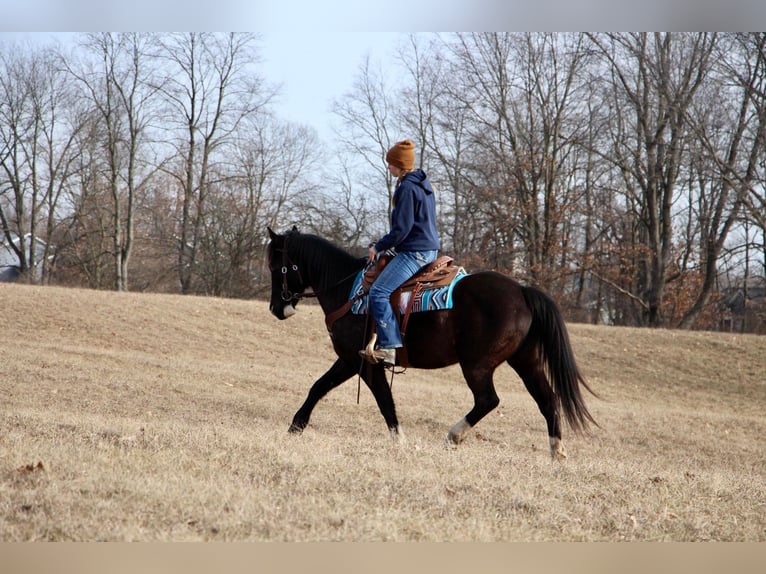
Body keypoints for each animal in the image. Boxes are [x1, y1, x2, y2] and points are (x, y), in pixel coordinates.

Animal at [268, 227, 600, 462]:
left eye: (275, 266)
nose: (276, 308)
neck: (349, 291)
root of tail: (521, 290)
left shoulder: (362, 362)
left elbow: (383, 401)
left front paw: (400, 441)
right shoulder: (351, 360)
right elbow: (319, 387)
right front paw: (296, 426)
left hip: (477, 365)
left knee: (488, 400)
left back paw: (453, 436)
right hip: (526, 361)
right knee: (547, 399)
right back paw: (557, 452)